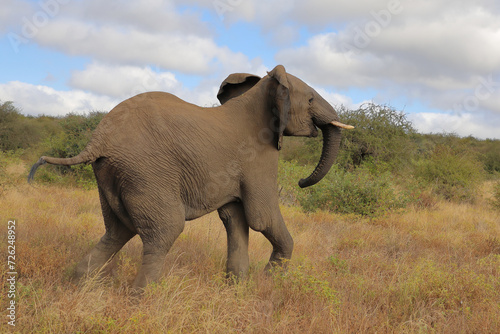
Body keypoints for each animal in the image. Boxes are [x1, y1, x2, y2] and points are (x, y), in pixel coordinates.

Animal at [28, 64, 352, 290]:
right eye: (310, 99)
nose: (301, 182)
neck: (261, 93)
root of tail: (97, 141)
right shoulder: (259, 156)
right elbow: (262, 217)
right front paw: (266, 284)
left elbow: (235, 219)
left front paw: (237, 290)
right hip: (146, 172)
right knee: (163, 232)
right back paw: (141, 300)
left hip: (112, 174)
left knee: (117, 232)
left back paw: (77, 287)